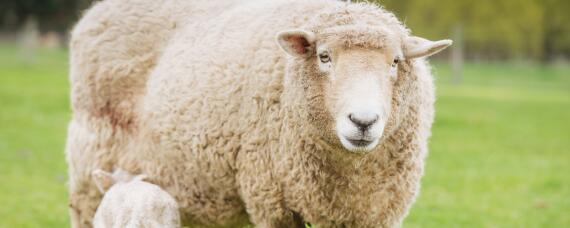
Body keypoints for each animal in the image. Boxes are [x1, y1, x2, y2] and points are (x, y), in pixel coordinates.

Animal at [65, 0, 448, 227]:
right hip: (91, 168)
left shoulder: (374, 212)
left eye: (395, 61)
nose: (363, 122)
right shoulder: (273, 201)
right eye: (324, 56)